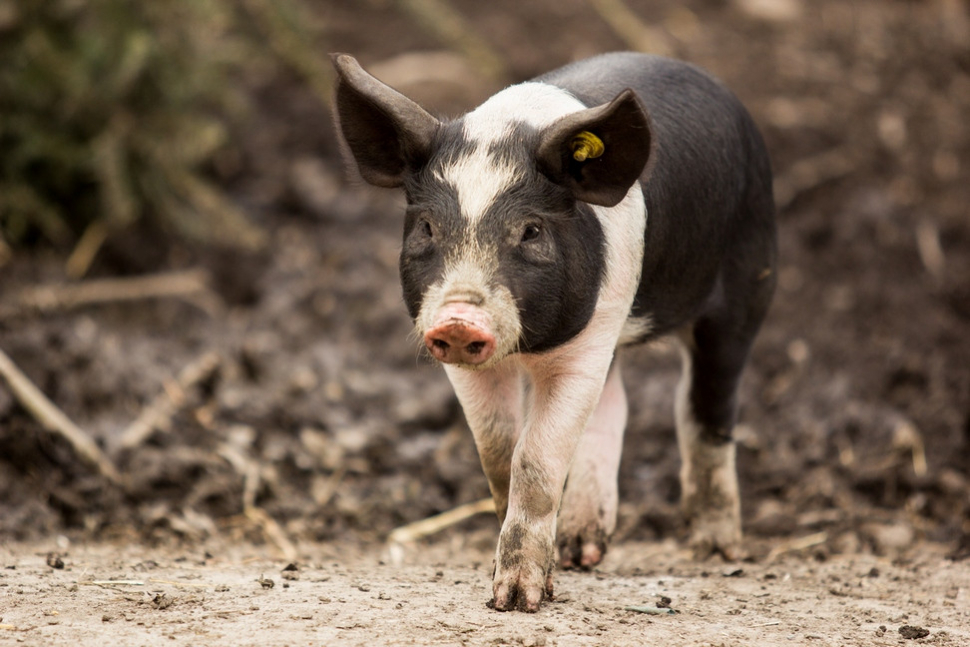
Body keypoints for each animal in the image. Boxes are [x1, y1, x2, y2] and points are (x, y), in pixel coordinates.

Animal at [328, 52, 776, 612]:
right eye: (427, 227)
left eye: (531, 230)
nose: (459, 319)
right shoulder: (470, 365)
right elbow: (499, 453)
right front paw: (516, 582)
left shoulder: (587, 343)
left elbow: (537, 458)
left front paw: (519, 600)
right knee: (615, 406)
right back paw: (583, 552)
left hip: (747, 280)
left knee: (704, 407)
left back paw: (716, 550)